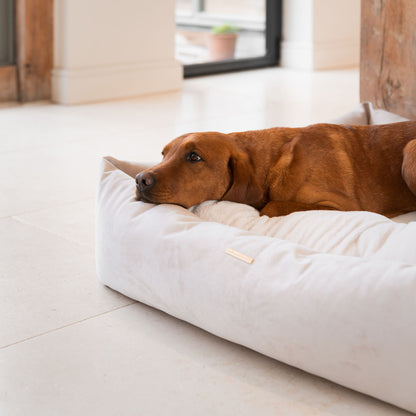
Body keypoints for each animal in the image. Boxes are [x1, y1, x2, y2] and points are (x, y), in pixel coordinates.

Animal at [134, 121, 416, 216]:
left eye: (194, 157)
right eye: (164, 154)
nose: (139, 179)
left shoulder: (347, 207)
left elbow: (271, 206)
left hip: (410, 150)